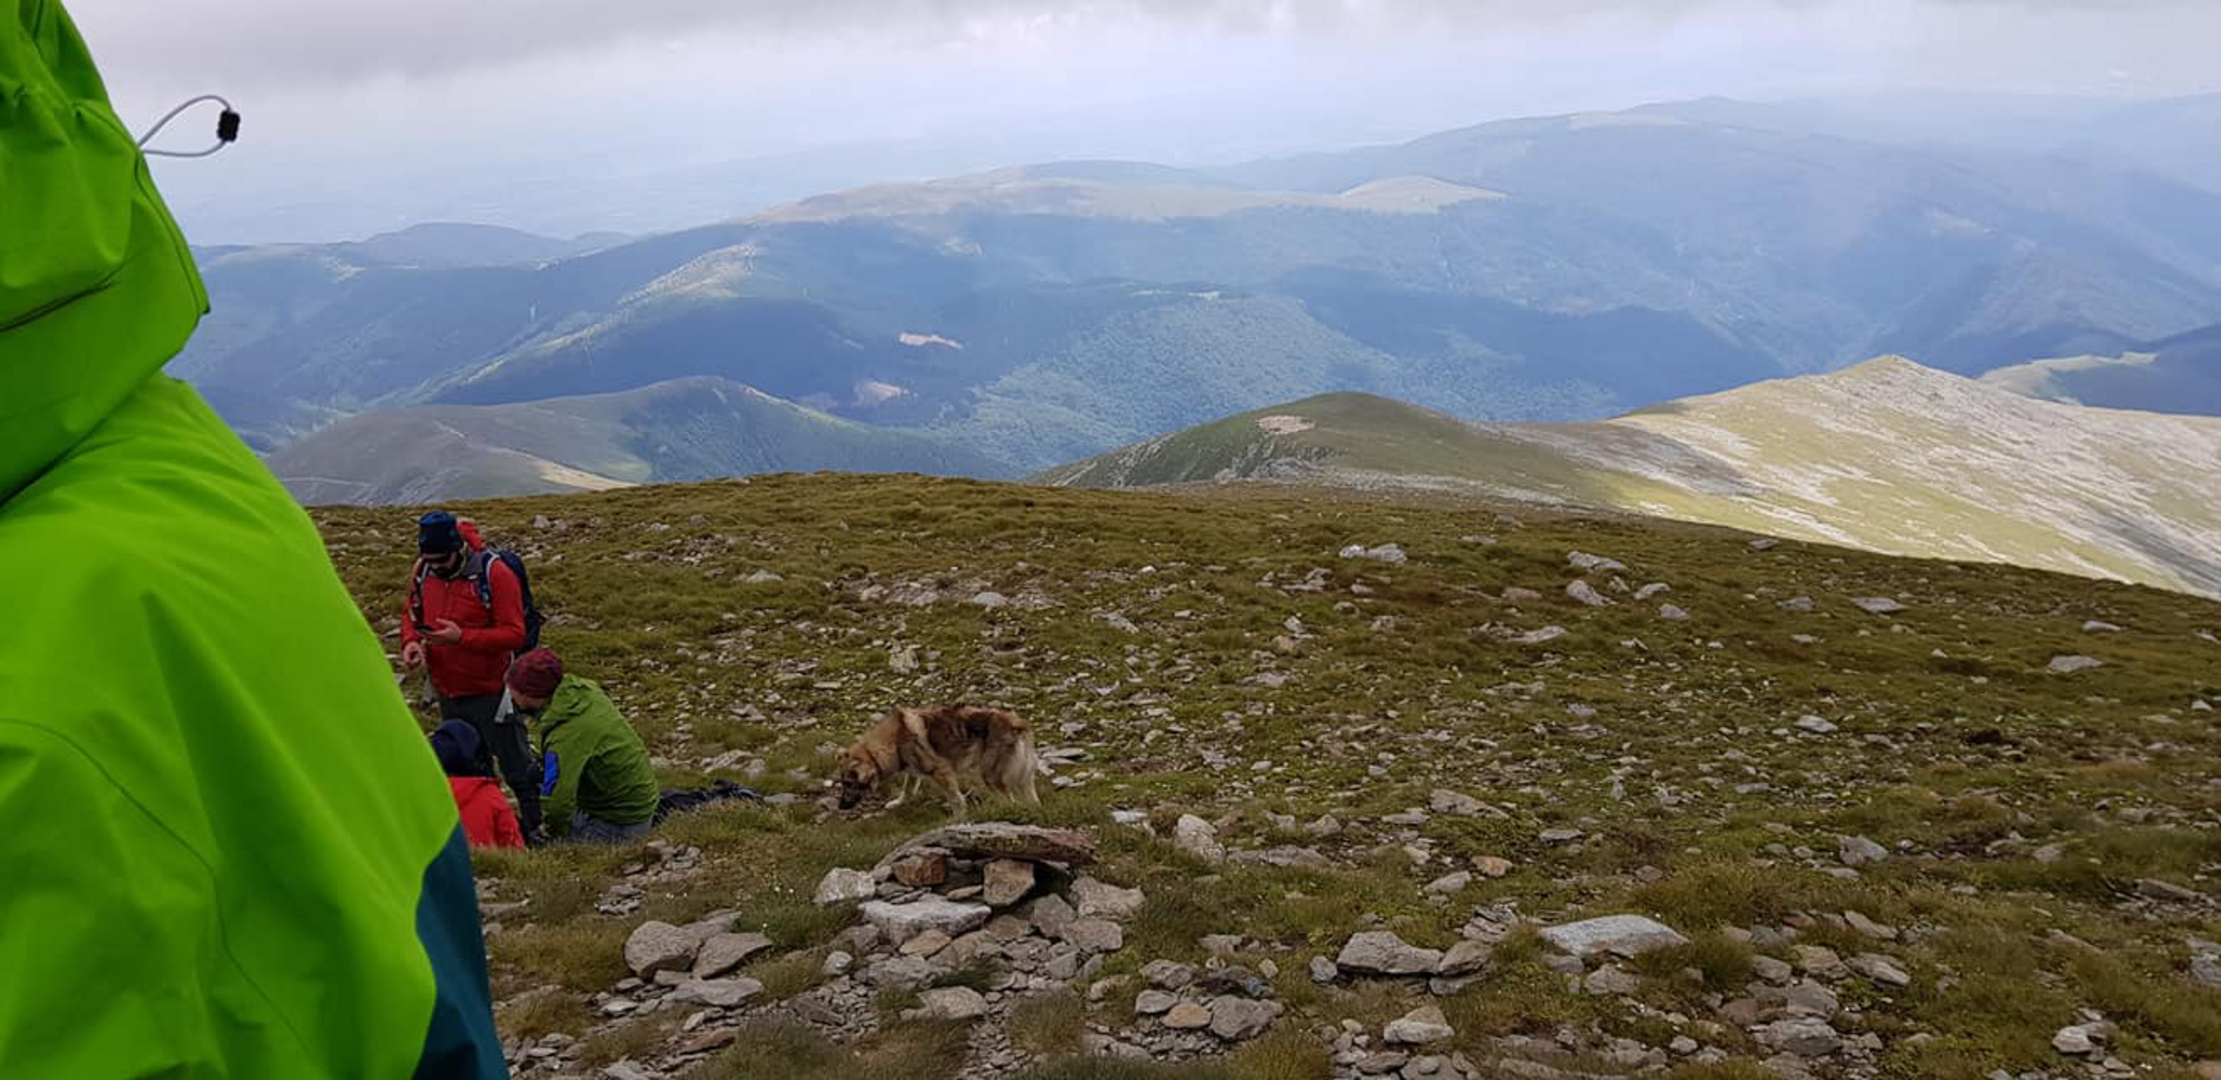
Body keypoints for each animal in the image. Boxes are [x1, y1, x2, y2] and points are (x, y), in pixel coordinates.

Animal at [835, 705, 1041, 814]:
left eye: (848, 783)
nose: (841, 807)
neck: (893, 742)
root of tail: (1016, 725)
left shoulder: (941, 771)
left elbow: (955, 799)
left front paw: (959, 818)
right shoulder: (914, 769)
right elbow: (907, 790)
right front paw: (897, 803)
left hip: (988, 776)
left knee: (1008, 802)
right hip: (1024, 780)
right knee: (1032, 801)